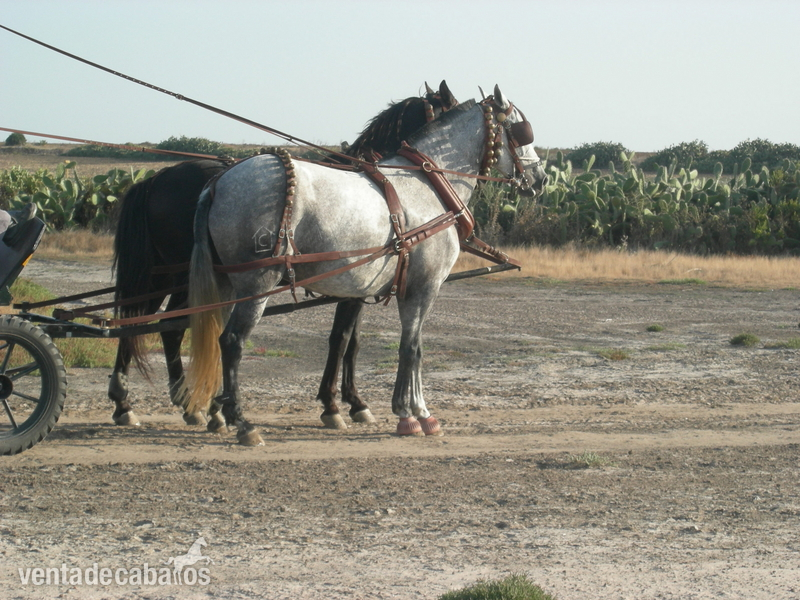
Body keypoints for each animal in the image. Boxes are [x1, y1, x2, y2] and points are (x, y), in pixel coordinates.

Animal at [108, 82, 458, 430]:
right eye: (448, 107)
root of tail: (156, 179)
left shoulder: (357, 285)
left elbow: (351, 341)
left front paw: (349, 401)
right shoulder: (354, 287)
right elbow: (343, 339)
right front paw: (339, 404)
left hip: (165, 274)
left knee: (141, 322)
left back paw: (142, 402)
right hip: (184, 275)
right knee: (167, 326)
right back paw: (174, 403)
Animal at [186, 85, 547, 445]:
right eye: (521, 131)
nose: (541, 178)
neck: (429, 183)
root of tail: (218, 182)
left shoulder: (378, 289)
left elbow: (376, 343)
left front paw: (389, 408)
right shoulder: (423, 286)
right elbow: (411, 348)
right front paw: (415, 414)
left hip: (227, 285)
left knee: (215, 336)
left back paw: (217, 412)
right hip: (257, 284)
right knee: (232, 342)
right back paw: (242, 422)